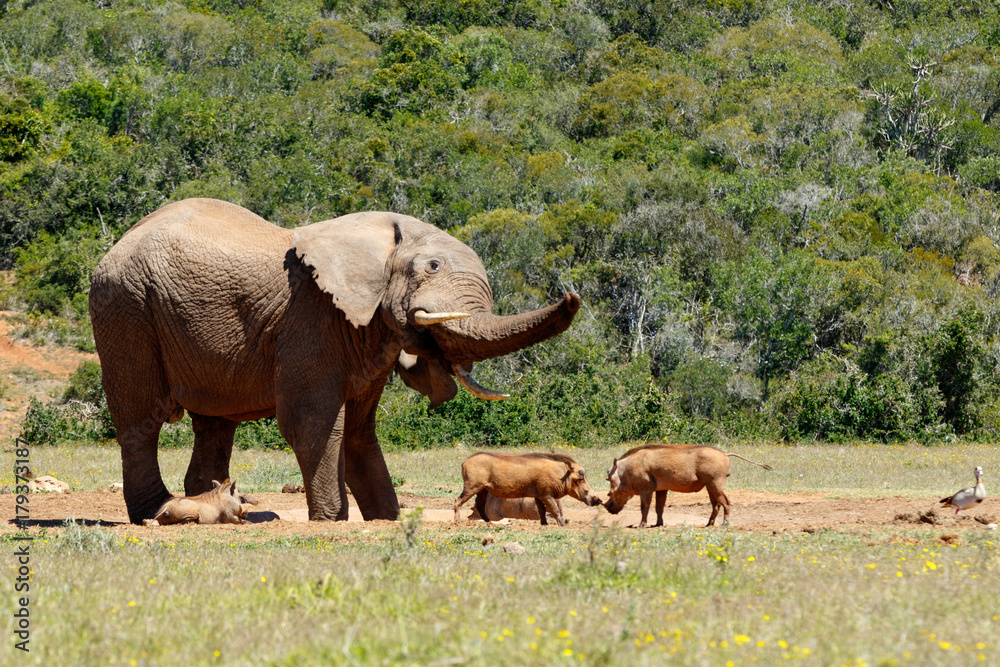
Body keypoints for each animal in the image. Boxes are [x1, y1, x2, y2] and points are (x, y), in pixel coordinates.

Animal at [90, 198, 580, 524]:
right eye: (433, 267)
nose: (571, 293)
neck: (377, 238)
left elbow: (361, 432)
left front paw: (386, 519)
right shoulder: (310, 318)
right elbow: (313, 424)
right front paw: (332, 521)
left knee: (215, 425)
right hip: (125, 307)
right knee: (140, 420)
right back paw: (156, 509)